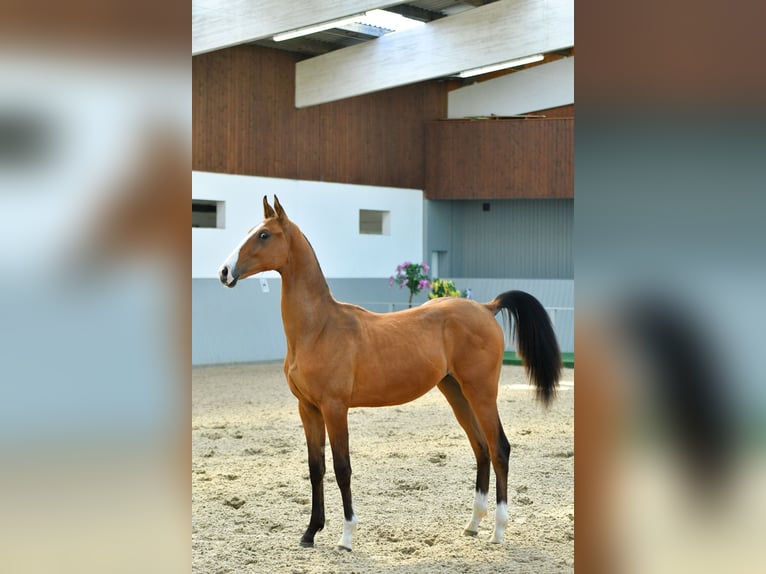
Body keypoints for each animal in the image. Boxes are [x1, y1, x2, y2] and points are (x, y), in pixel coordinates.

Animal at [219, 197, 560, 552]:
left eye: (264, 235)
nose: (225, 272)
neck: (319, 328)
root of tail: (485, 307)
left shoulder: (334, 408)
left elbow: (342, 468)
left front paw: (346, 537)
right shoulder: (308, 408)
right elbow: (316, 468)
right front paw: (310, 532)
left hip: (481, 392)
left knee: (499, 449)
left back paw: (498, 530)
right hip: (456, 392)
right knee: (480, 448)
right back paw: (472, 525)